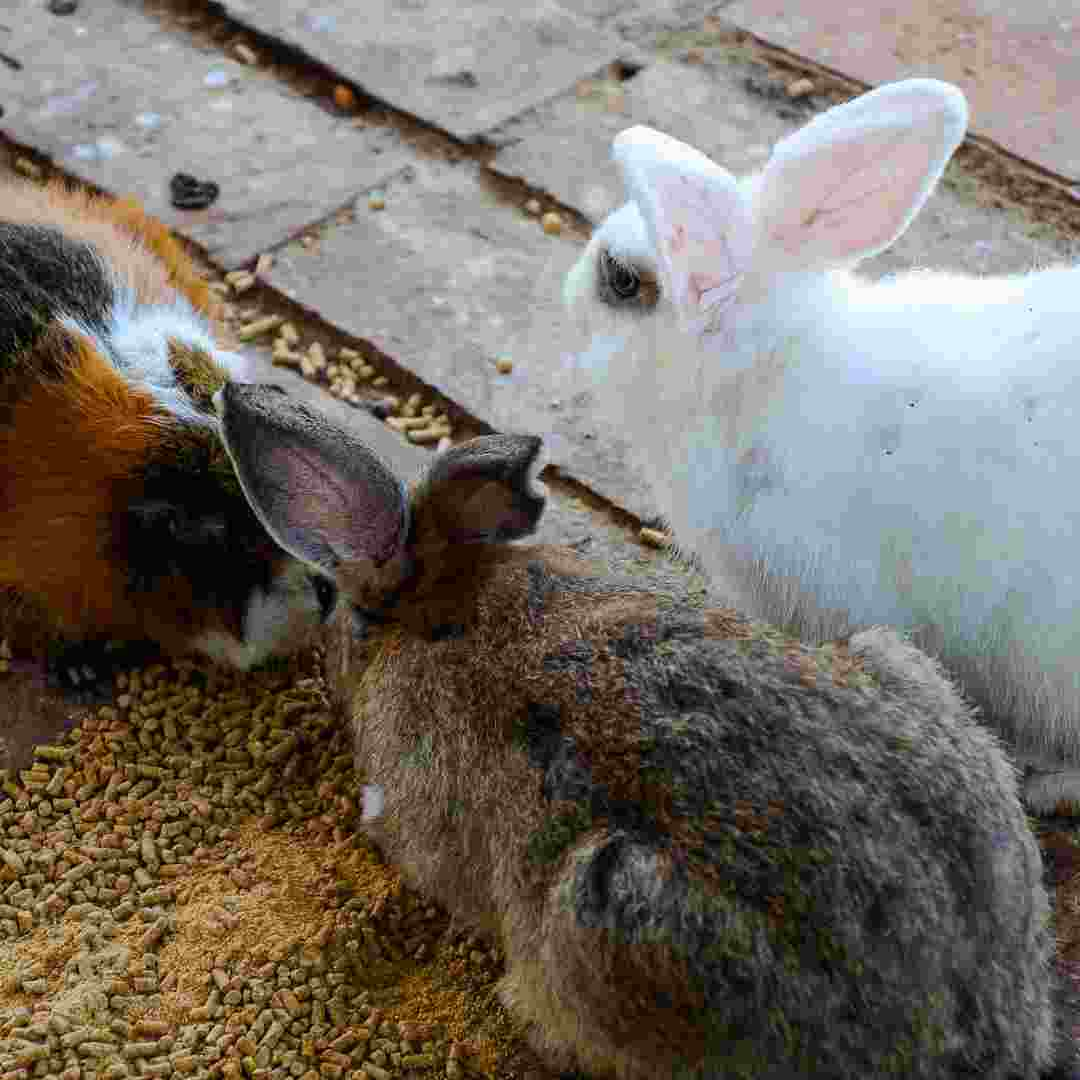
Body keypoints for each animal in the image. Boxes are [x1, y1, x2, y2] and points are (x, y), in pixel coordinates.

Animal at [214, 382, 1058, 1080]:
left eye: (335, 607)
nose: (324, 645)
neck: (439, 607)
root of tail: (976, 1036)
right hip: (899, 669)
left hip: (608, 913)